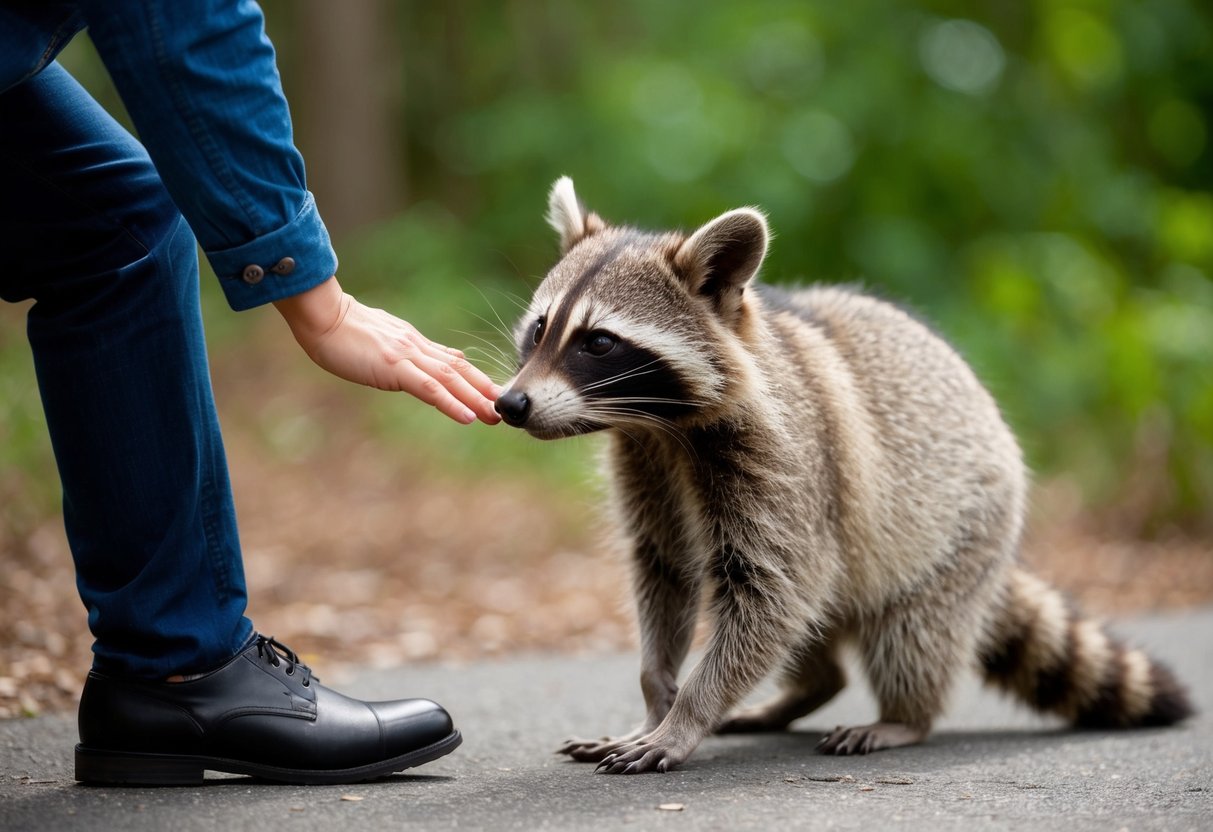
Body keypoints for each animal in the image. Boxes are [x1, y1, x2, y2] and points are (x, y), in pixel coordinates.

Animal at [494, 177, 1193, 774]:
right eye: (540, 328)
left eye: (599, 342)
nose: (510, 404)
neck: (663, 426)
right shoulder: (646, 466)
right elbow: (664, 570)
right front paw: (654, 697)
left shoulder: (786, 462)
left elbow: (774, 592)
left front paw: (686, 714)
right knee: (818, 625)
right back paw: (804, 691)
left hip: (962, 530)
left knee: (909, 632)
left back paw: (904, 717)